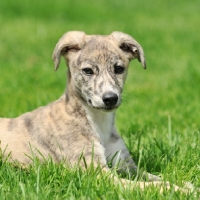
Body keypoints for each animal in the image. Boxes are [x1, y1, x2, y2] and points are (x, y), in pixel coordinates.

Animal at [0, 30, 183, 191]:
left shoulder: (128, 167)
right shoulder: (98, 173)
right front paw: (179, 191)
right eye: (88, 71)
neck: (98, 121)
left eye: (119, 68)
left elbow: (157, 178)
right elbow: (147, 186)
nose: (110, 98)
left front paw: (184, 185)